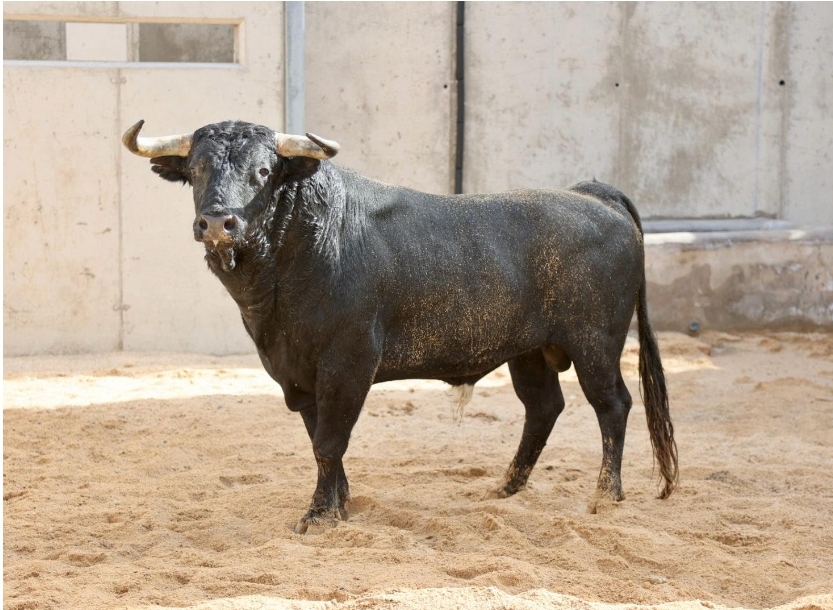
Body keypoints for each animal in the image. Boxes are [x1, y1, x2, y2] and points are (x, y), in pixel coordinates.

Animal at [123, 120, 678, 534]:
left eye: (263, 170)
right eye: (195, 169)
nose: (218, 223)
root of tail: (592, 194)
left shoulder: (348, 364)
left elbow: (329, 440)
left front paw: (319, 515)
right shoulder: (296, 374)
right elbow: (319, 438)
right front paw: (341, 503)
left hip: (594, 343)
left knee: (612, 405)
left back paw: (605, 496)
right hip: (529, 352)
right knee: (544, 408)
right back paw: (505, 488)